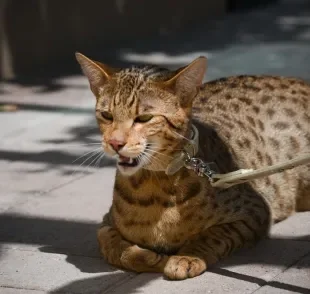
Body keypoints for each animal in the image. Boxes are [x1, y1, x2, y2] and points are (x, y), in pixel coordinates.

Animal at [75, 52, 310, 280]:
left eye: (144, 117)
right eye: (106, 115)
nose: (115, 143)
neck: (155, 184)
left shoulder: (256, 210)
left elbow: (213, 235)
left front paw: (187, 256)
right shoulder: (106, 221)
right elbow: (109, 242)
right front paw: (145, 257)